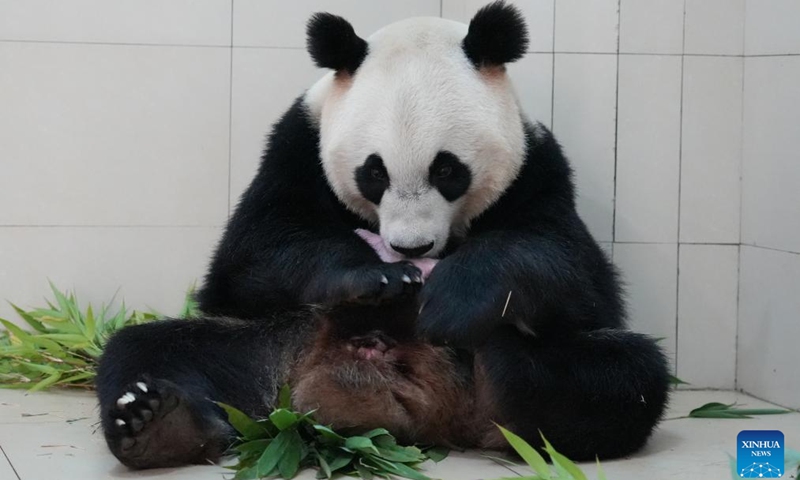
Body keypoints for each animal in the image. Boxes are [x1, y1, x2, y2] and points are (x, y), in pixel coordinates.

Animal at [96, 1, 670, 470]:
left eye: (447, 170)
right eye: (374, 173)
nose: (410, 249)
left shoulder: (538, 169)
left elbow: (568, 270)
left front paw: (452, 301)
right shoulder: (295, 147)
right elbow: (255, 254)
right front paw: (376, 277)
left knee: (620, 377)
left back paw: (500, 370)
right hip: (265, 345)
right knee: (152, 350)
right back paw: (159, 425)